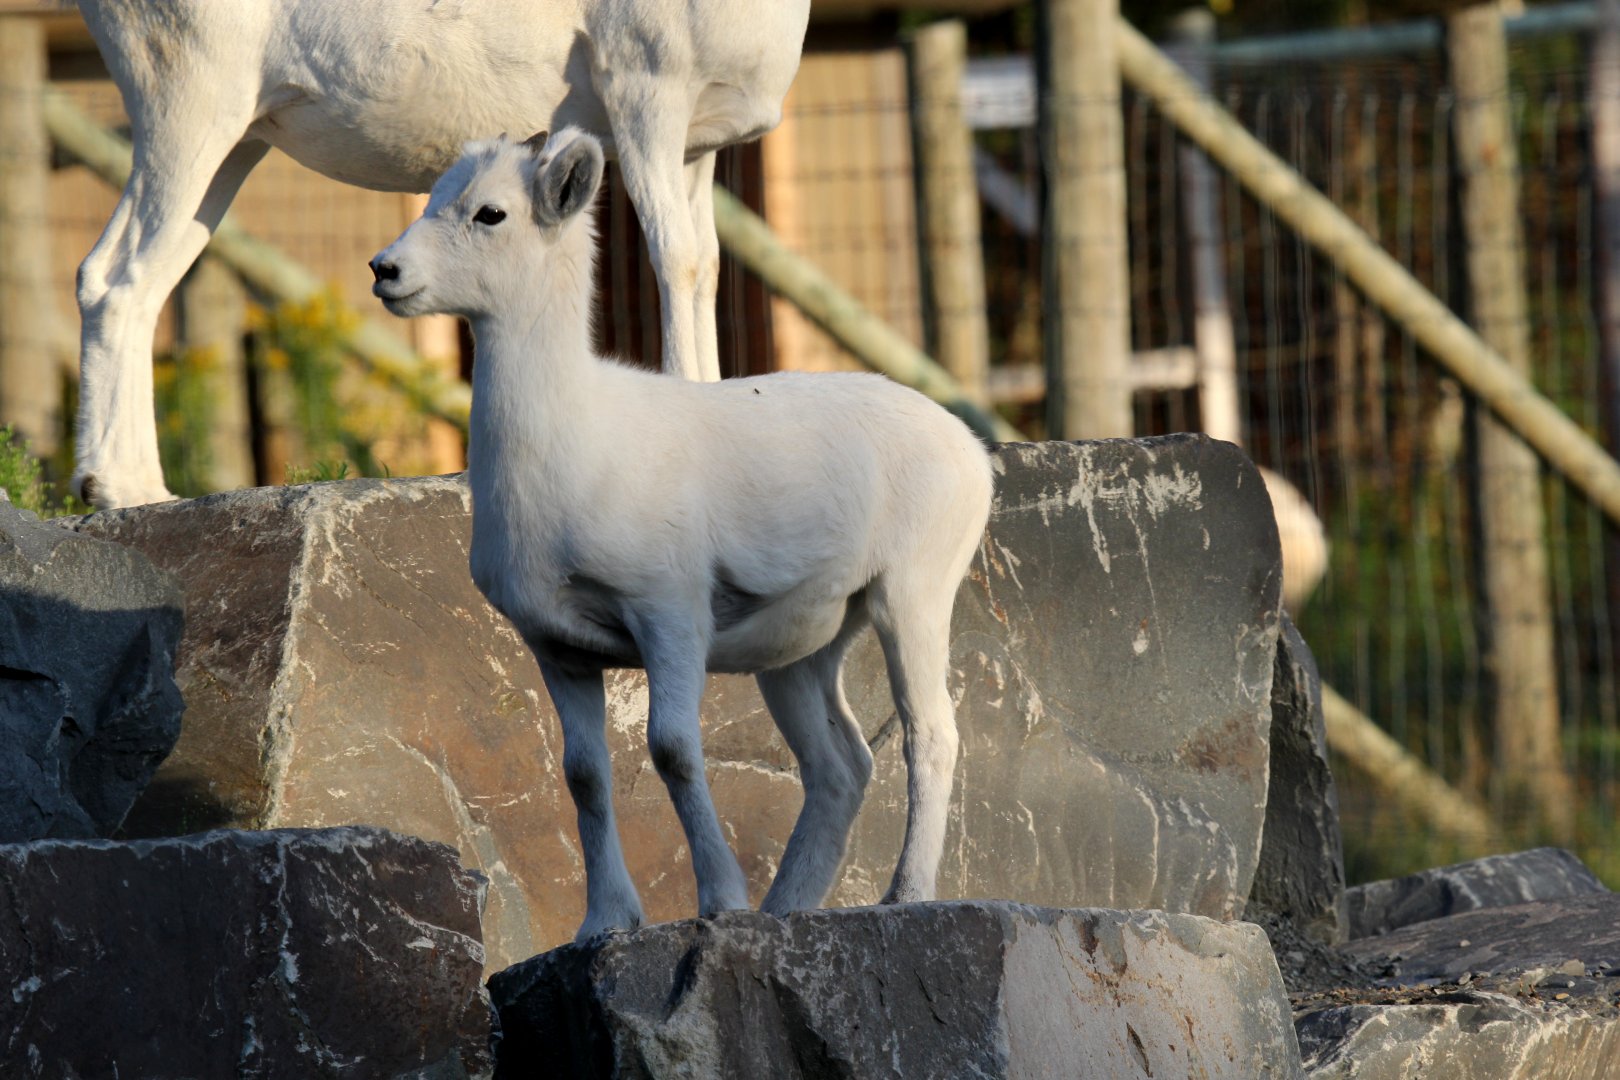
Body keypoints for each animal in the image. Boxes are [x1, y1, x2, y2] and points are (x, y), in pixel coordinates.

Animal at [70, 0, 812, 508]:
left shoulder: (694, 151)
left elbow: (706, 268)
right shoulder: (646, 105)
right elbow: (676, 260)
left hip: (237, 144)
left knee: (132, 283)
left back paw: (131, 490)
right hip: (190, 115)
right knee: (114, 277)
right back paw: (126, 493)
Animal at [369, 128, 994, 938]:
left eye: (490, 213)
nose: (386, 270)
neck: (575, 441)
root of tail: (971, 453)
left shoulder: (668, 617)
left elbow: (672, 752)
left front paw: (720, 901)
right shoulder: (559, 651)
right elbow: (585, 776)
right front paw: (605, 922)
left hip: (912, 599)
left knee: (930, 734)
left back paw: (904, 893)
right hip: (801, 653)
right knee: (840, 767)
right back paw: (784, 907)